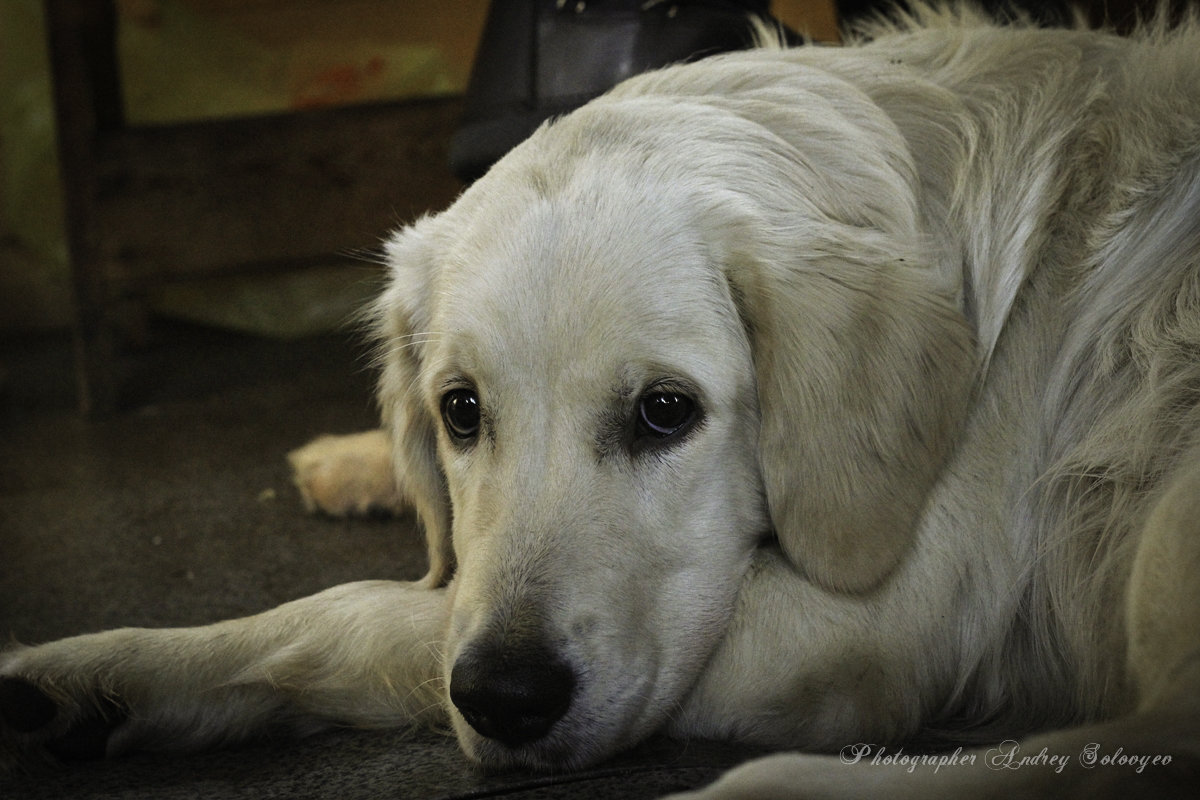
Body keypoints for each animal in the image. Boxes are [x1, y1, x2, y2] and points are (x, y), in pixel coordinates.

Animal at [2, 4, 1200, 796]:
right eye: (460, 410)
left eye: (666, 411)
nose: (506, 697)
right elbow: (419, 582)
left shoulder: (868, 623)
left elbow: (373, 612)